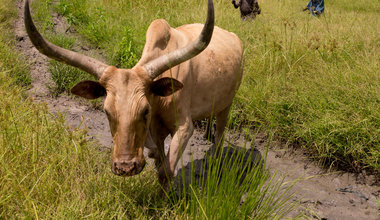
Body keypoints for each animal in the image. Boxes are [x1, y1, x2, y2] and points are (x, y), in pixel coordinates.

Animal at [24, 0, 243, 188]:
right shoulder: (156, 129)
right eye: (106, 112)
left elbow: (165, 172)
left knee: (220, 132)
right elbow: (158, 159)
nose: (125, 167)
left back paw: (214, 160)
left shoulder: (184, 127)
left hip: (227, 104)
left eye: (145, 110)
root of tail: (233, 36)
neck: (159, 100)